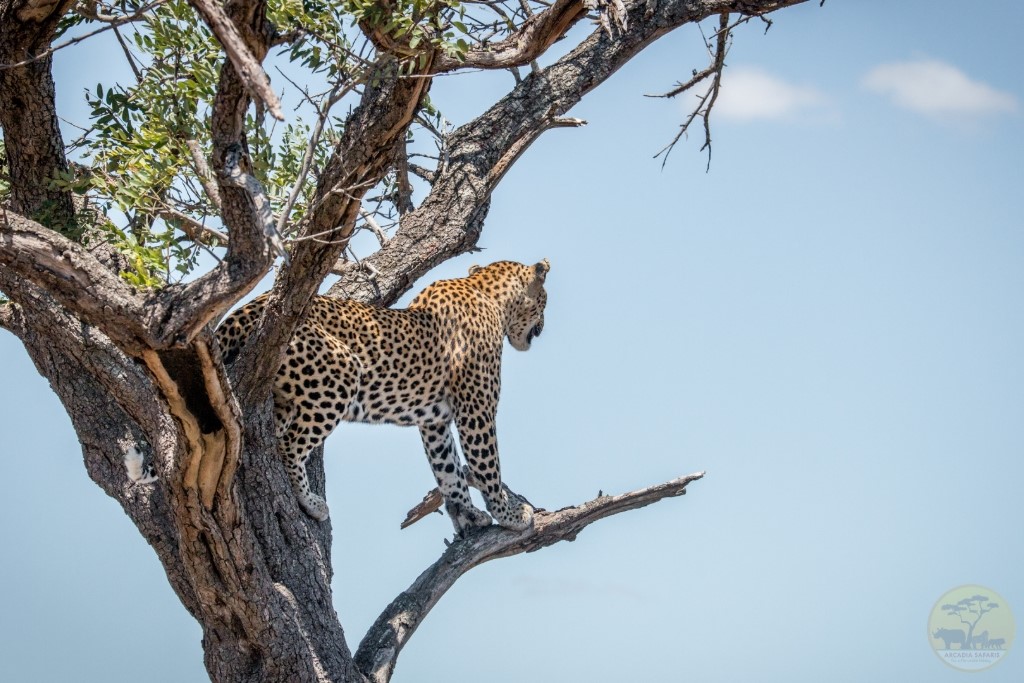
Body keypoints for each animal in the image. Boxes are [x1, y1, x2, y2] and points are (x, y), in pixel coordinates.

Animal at [216, 260, 552, 532]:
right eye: (545, 301)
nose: (543, 326)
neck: (489, 295)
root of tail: (247, 309)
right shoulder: (476, 409)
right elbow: (487, 465)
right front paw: (509, 515)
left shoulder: (435, 422)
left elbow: (449, 470)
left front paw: (468, 514)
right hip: (341, 372)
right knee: (289, 446)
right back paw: (311, 502)